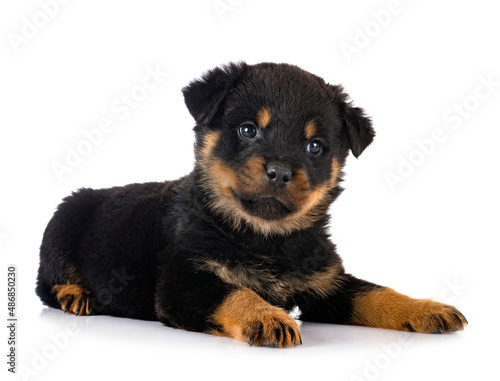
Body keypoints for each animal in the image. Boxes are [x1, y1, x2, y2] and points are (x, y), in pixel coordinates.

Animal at [37, 62, 466, 348]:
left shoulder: (328, 284)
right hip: (62, 220)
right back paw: (76, 295)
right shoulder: (183, 281)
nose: (279, 171)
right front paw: (266, 317)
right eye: (247, 130)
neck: (265, 237)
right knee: (46, 282)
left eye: (315, 146)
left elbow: (374, 293)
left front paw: (424, 308)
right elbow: (233, 292)